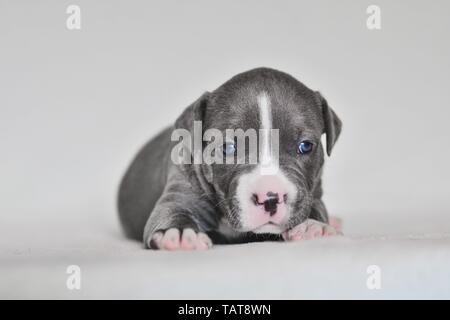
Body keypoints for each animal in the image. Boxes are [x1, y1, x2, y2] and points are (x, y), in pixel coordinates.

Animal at [118, 67, 342, 250]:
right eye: (227, 148)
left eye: (305, 146)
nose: (269, 197)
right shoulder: (180, 191)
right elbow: (172, 211)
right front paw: (179, 234)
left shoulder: (314, 192)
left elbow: (316, 206)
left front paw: (313, 226)